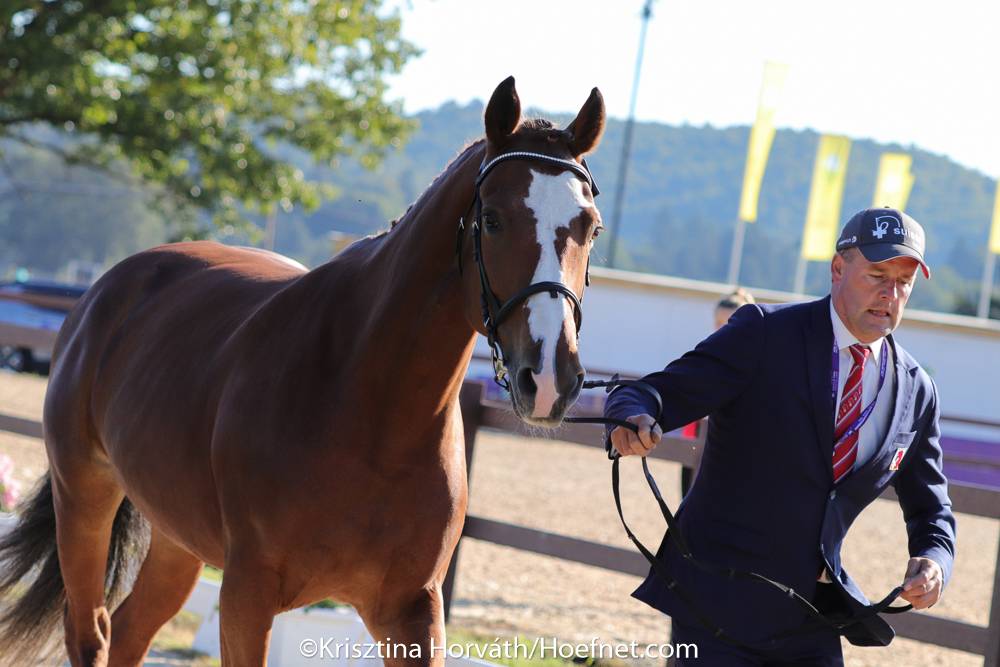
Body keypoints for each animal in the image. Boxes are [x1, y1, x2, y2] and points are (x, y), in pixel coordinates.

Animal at [0, 76, 606, 666]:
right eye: (492, 219)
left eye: (591, 227)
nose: (548, 378)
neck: (369, 407)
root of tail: (105, 289)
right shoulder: (246, 596)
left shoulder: (411, 610)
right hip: (83, 495)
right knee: (91, 632)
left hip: (177, 539)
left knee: (129, 633)